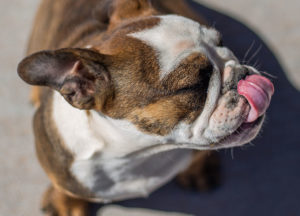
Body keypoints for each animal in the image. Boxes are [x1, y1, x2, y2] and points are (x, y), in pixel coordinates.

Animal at [16, 0, 274, 215]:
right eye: (194, 85)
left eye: (222, 44)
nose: (241, 75)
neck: (141, 151)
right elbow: (64, 188)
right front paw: (66, 203)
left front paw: (199, 167)